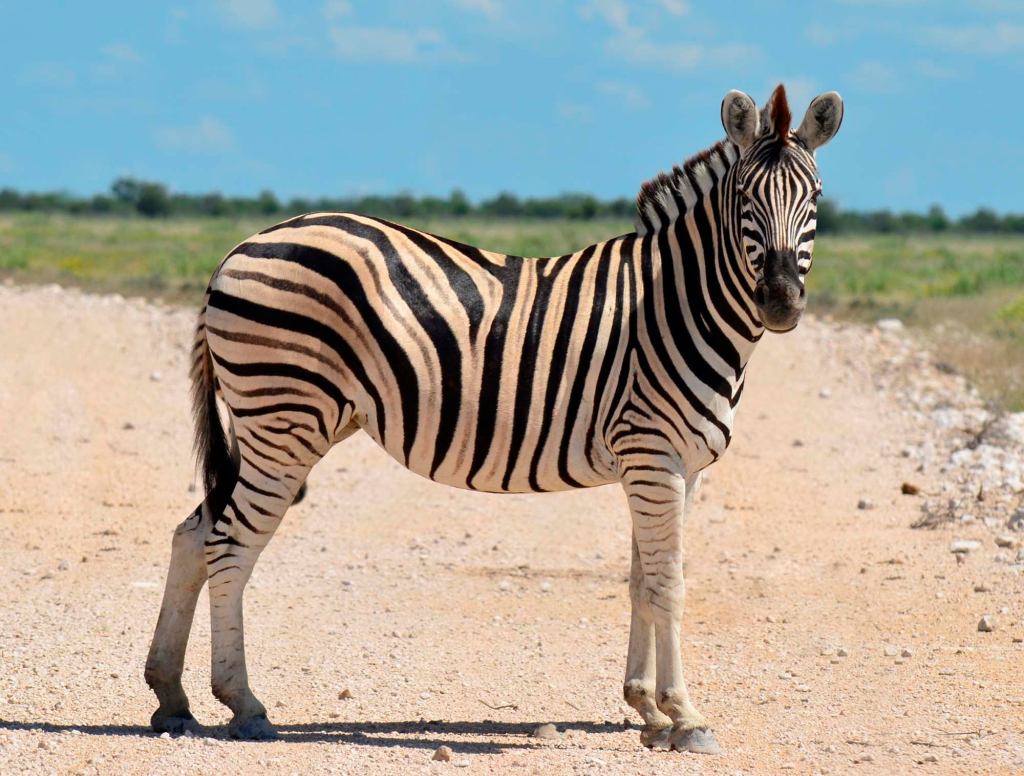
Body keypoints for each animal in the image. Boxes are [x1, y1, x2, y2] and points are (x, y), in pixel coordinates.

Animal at [148, 84, 843, 753]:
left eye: (816, 200)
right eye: (746, 199)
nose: (781, 302)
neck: (679, 303)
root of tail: (236, 251)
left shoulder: (677, 466)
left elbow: (641, 579)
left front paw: (647, 710)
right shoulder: (653, 455)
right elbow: (668, 581)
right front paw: (685, 717)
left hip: (271, 425)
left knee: (192, 534)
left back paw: (171, 698)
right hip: (284, 421)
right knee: (229, 545)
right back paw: (244, 704)